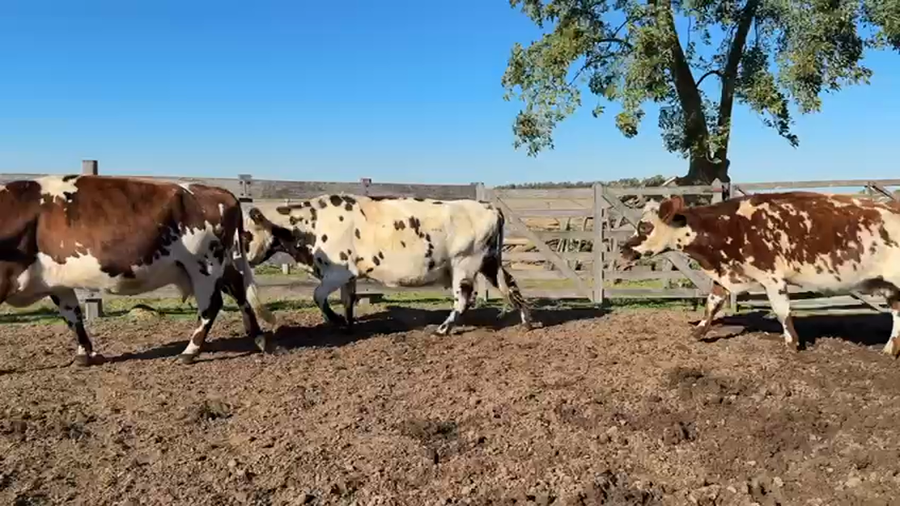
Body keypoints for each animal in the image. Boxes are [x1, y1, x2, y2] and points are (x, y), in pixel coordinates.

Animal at [0, 175, 277, 366]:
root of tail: (218, 191)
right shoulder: (57, 282)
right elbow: (73, 316)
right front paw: (84, 355)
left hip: (205, 265)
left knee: (211, 305)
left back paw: (189, 352)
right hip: (220, 263)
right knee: (238, 288)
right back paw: (258, 338)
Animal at [239, 193, 536, 336]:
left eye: (246, 234)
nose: (243, 260)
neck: (313, 223)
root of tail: (488, 207)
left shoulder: (336, 273)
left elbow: (318, 296)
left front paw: (335, 320)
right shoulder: (348, 276)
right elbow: (348, 300)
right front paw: (347, 324)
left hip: (465, 264)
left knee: (463, 300)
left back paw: (443, 329)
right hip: (489, 262)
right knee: (512, 286)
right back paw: (526, 321)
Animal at [617, 191, 900, 355]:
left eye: (644, 226)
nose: (623, 250)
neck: (732, 226)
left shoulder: (772, 277)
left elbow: (782, 311)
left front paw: (792, 345)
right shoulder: (726, 273)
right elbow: (712, 303)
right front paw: (698, 332)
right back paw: (889, 350)